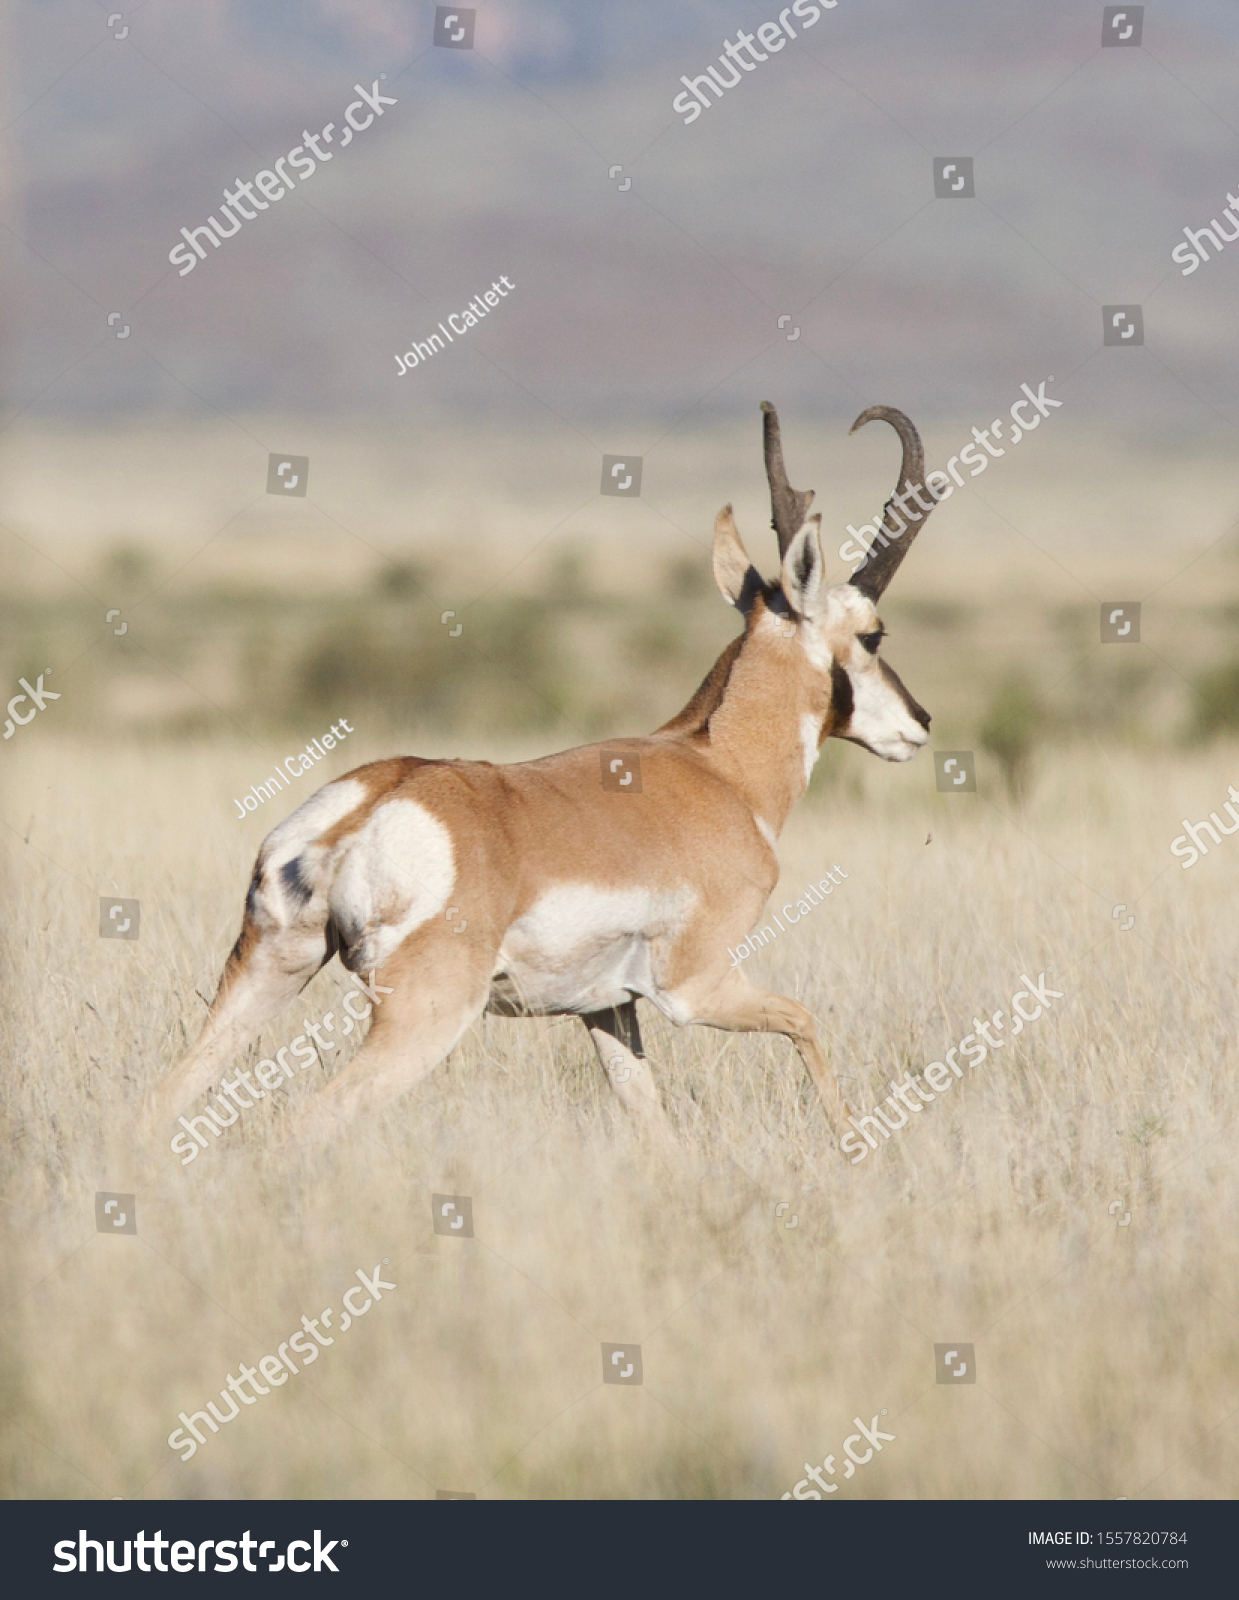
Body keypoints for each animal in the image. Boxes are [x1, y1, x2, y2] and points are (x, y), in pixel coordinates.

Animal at [148, 406, 941, 1145]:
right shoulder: (697, 989)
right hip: (423, 1018)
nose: (920, 721)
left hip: (265, 974)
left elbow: (652, 1124)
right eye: (873, 635)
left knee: (161, 1104)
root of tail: (370, 806)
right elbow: (805, 1021)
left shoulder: (609, 1009)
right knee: (303, 1124)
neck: (717, 767)